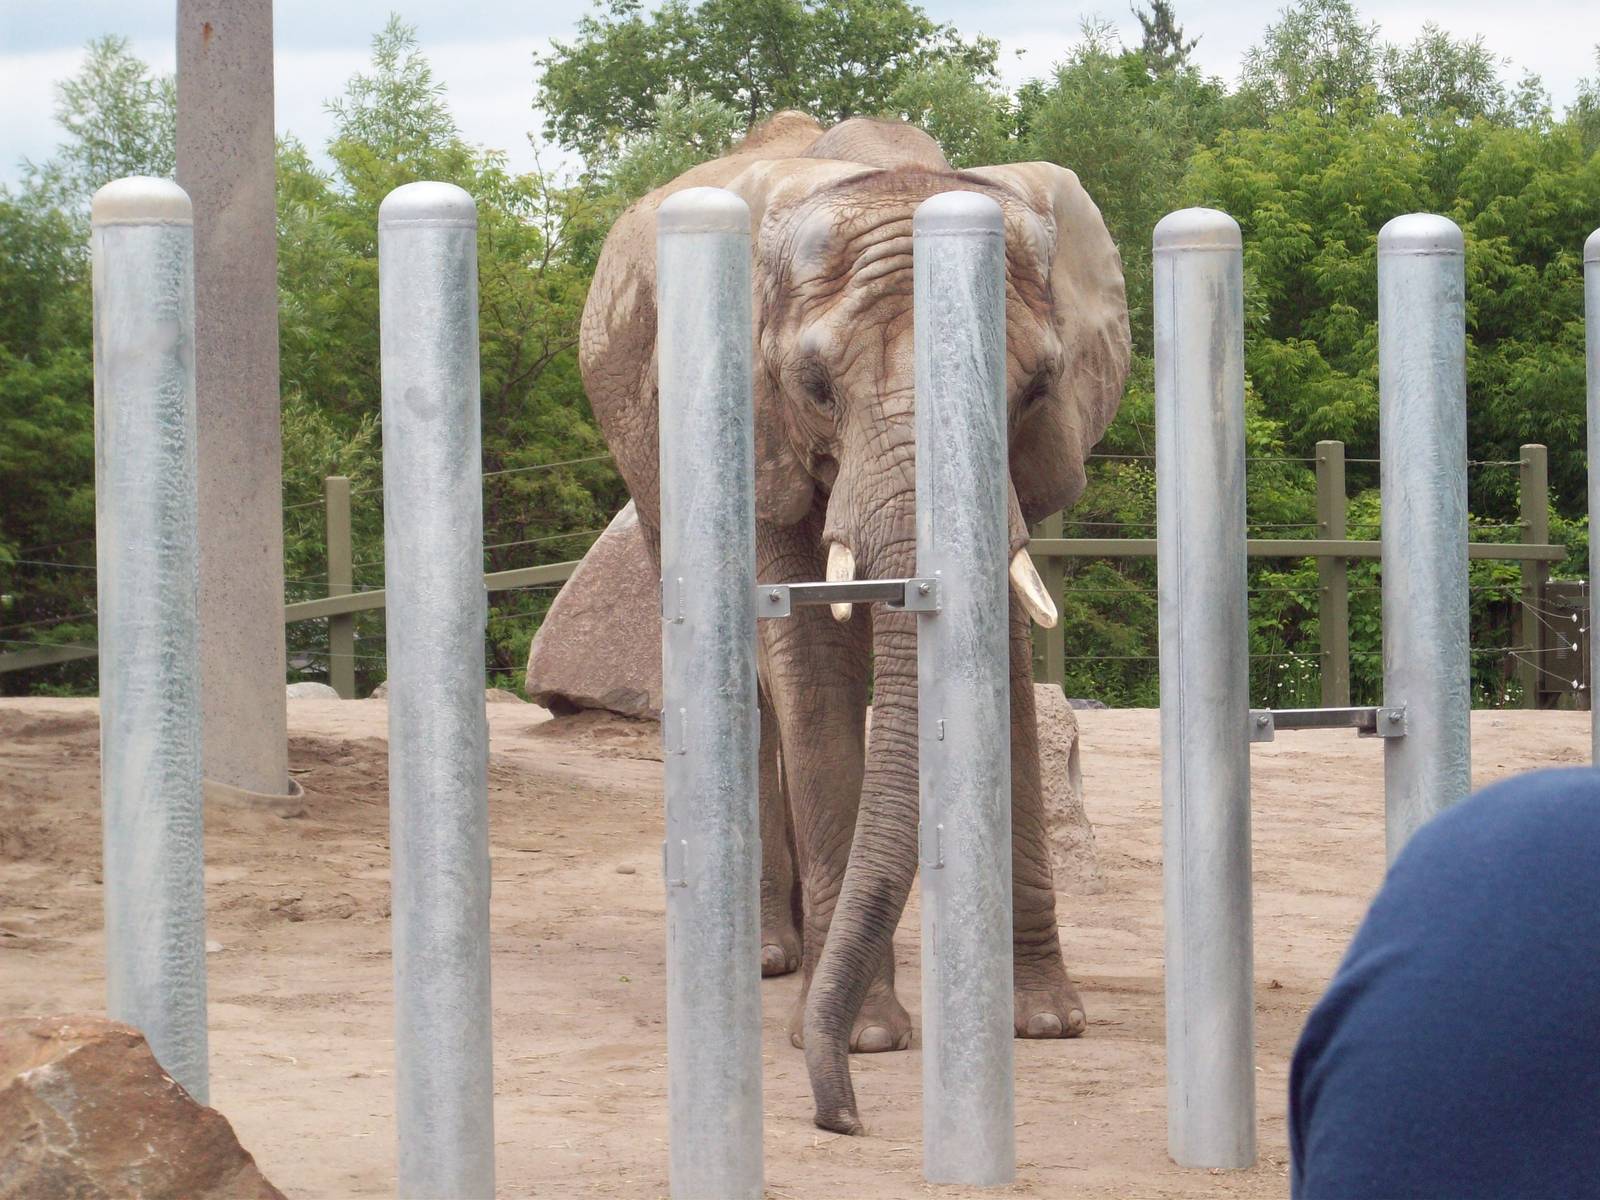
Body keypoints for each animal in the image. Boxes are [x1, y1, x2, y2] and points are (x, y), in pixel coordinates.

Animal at [579, 111, 1131, 1135]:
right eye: (815, 386)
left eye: (1040, 386)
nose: (843, 1117)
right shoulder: (759, 428)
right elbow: (811, 659)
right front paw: (866, 1039)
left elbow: (1000, 655)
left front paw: (1044, 1021)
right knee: (746, 671)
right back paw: (768, 956)